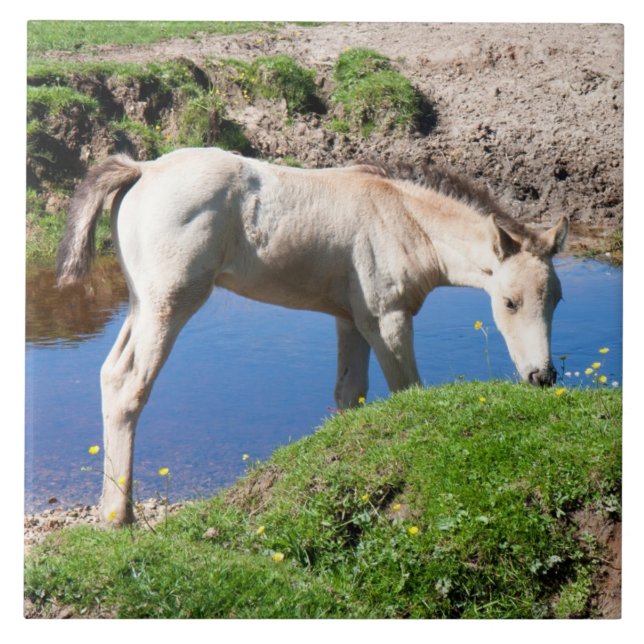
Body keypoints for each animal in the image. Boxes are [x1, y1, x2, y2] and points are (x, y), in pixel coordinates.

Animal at [57, 147, 568, 525]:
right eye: (509, 303)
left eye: (557, 300)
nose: (542, 377)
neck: (403, 218)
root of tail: (143, 168)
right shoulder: (387, 319)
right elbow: (408, 391)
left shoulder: (352, 320)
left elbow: (350, 394)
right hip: (171, 302)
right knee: (129, 386)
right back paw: (119, 518)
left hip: (141, 303)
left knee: (110, 375)